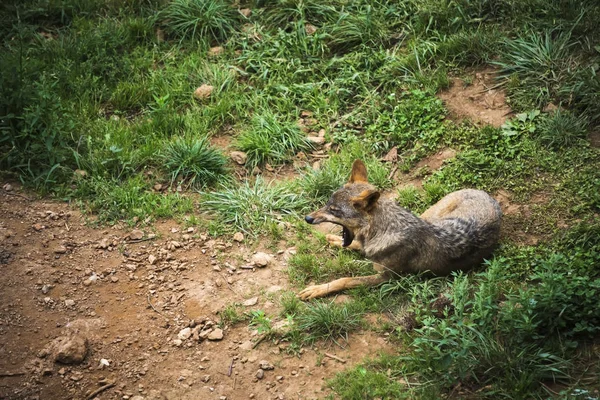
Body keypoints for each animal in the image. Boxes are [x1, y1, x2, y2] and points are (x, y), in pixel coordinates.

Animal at [300, 158, 502, 298]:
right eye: (327, 204)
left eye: (334, 210)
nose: (307, 218)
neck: (383, 231)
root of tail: (487, 195)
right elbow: (356, 247)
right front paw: (336, 241)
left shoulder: (386, 278)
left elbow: (345, 280)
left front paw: (317, 289)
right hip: (429, 214)